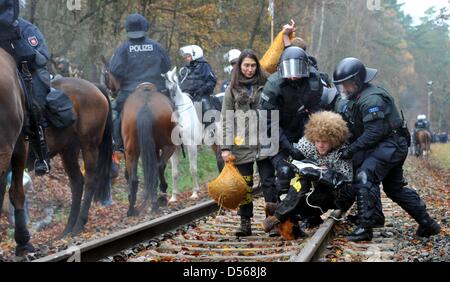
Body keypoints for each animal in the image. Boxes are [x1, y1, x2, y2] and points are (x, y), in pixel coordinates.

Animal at [163, 67, 202, 202]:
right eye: (165, 84)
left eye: (174, 83)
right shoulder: (175, 149)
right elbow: (175, 173)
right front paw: (174, 196)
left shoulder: (191, 146)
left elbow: (193, 169)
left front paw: (195, 193)